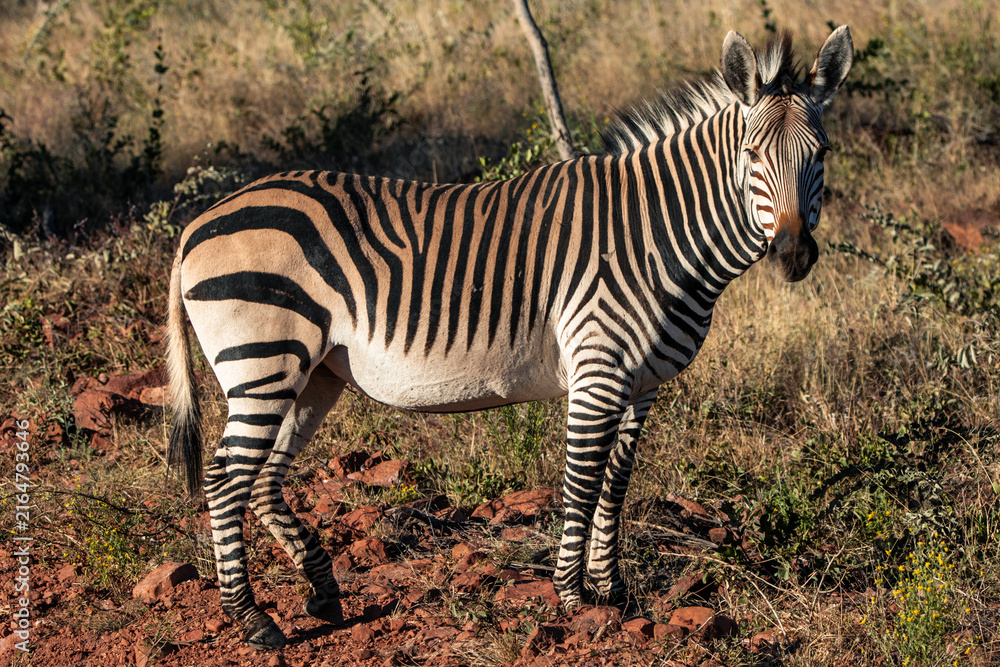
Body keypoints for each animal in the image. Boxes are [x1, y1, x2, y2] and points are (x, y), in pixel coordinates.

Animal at [166, 26, 852, 648]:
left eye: (820, 155)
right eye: (753, 156)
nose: (793, 255)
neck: (659, 234)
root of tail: (196, 223)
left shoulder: (643, 384)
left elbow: (616, 485)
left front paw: (616, 592)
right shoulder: (598, 371)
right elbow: (581, 484)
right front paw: (574, 597)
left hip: (316, 374)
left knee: (261, 477)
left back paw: (323, 591)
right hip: (264, 362)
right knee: (224, 479)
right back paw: (252, 620)